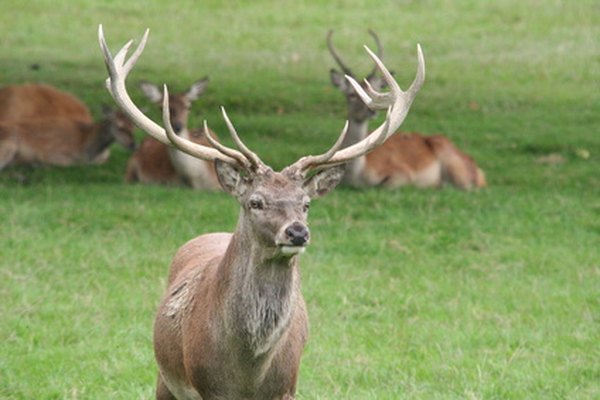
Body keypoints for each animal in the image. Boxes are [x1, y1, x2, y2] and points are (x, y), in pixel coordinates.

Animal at [99, 25, 426, 400]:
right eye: (255, 201)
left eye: (306, 203)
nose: (297, 232)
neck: (248, 370)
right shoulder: (205, 387)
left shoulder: (287, 386)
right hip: (165, 379)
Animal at [326, 30, 486, 190]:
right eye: (351, 95)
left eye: (377, 89)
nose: (371, 111)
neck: (355, 177)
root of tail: (480, 172)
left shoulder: (402, 172)